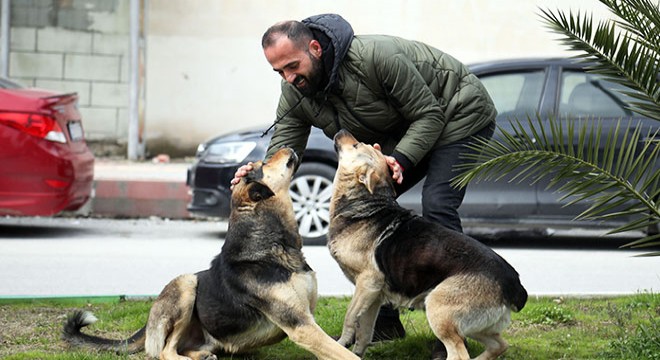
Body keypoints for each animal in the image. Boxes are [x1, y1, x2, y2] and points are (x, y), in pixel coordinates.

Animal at [63, 147, 356, 360]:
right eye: (262, 165)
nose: (287, 147)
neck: (274, 246)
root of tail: (147, 324)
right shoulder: (300, 325)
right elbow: (346, 355)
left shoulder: (308, 323)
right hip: (186, 283)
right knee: (165, 352)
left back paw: (201, 355)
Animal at [332, 131, 528, 360]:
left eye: (356, 145)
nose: (341, 131)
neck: (365, 202)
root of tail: (513, 284)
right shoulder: (373, 296)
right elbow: (364, 332)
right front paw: (355, 353)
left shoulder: (367, 284)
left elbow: (349, 318)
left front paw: (340, 344)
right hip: (475, 327)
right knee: (500, 345)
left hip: (437, 309)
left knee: (460, 354)